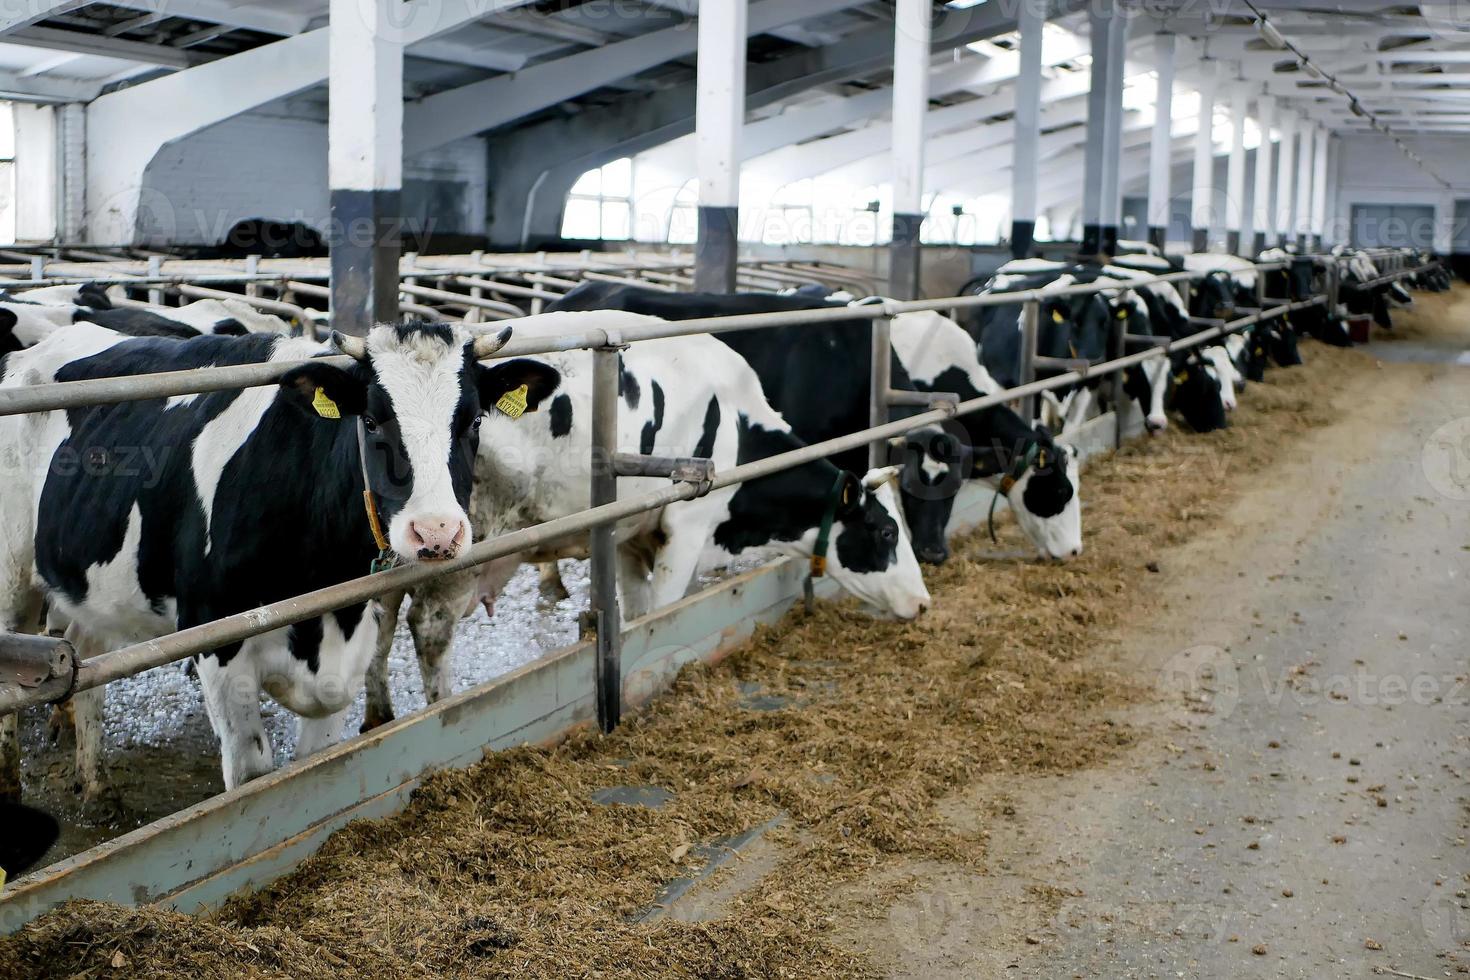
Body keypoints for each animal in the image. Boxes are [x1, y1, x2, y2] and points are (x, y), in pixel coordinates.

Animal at [0, 315, 517, 805]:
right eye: (371, 420)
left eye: (474, 421)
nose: (437, 532)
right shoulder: (215, 636)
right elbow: (252, 774)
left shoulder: (352, 642)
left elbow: (320, 758)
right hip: (13, 582)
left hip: (98, 591)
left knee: (87, 654)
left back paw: (96, 788)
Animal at [357, 310, 929, 731]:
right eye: (886, 531)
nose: (924, 603)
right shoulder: (688, 527)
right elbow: (663, 610)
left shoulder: (630, 535)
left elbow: (633, 612)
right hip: (455, 546)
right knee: (429, 627)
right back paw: (441, 712)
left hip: (391, 550)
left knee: (380, 619)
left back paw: (378, 716)